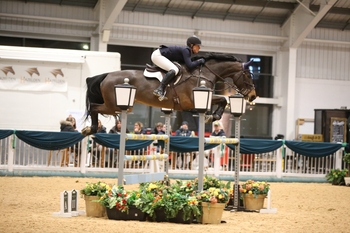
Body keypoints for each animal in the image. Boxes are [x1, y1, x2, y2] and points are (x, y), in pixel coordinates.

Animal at [82, 52, 258, 137]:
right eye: (248, 75)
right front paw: (212, 116)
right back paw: (90, 129)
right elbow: (223, 99)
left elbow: (223, 100)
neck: (204, 73)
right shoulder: (193, 101)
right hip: (113, 105)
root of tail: (107, 75)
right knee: (94, 108)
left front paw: (212, 116)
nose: (253, 96)